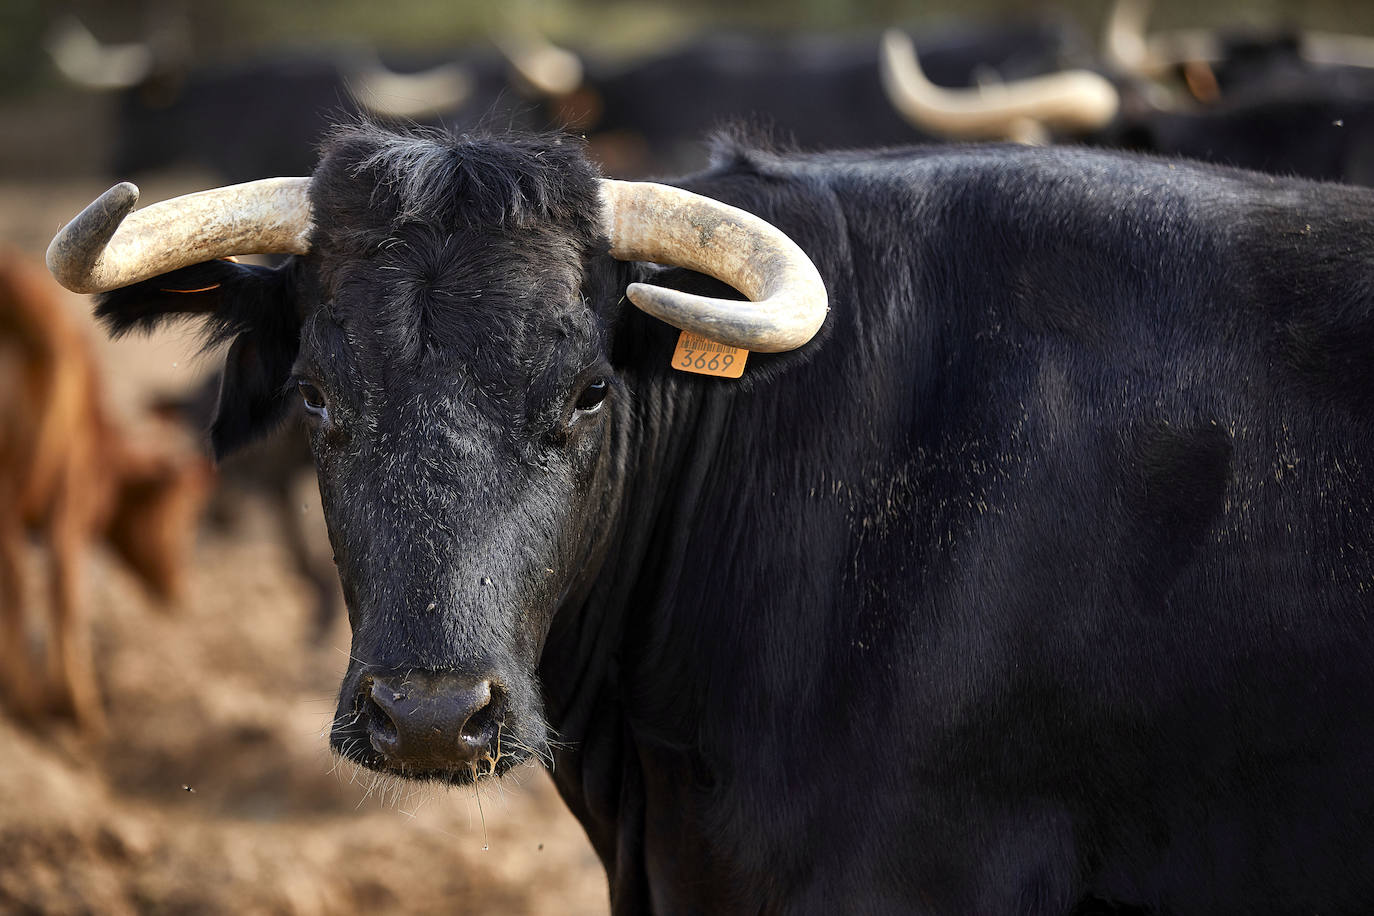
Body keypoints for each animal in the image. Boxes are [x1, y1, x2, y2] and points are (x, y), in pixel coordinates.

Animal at [0, 248, 211, 730]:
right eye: (187, 509)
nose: (181, 589)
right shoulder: (70, 502)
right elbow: (65, 592)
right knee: (40, 582)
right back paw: (61, 707)